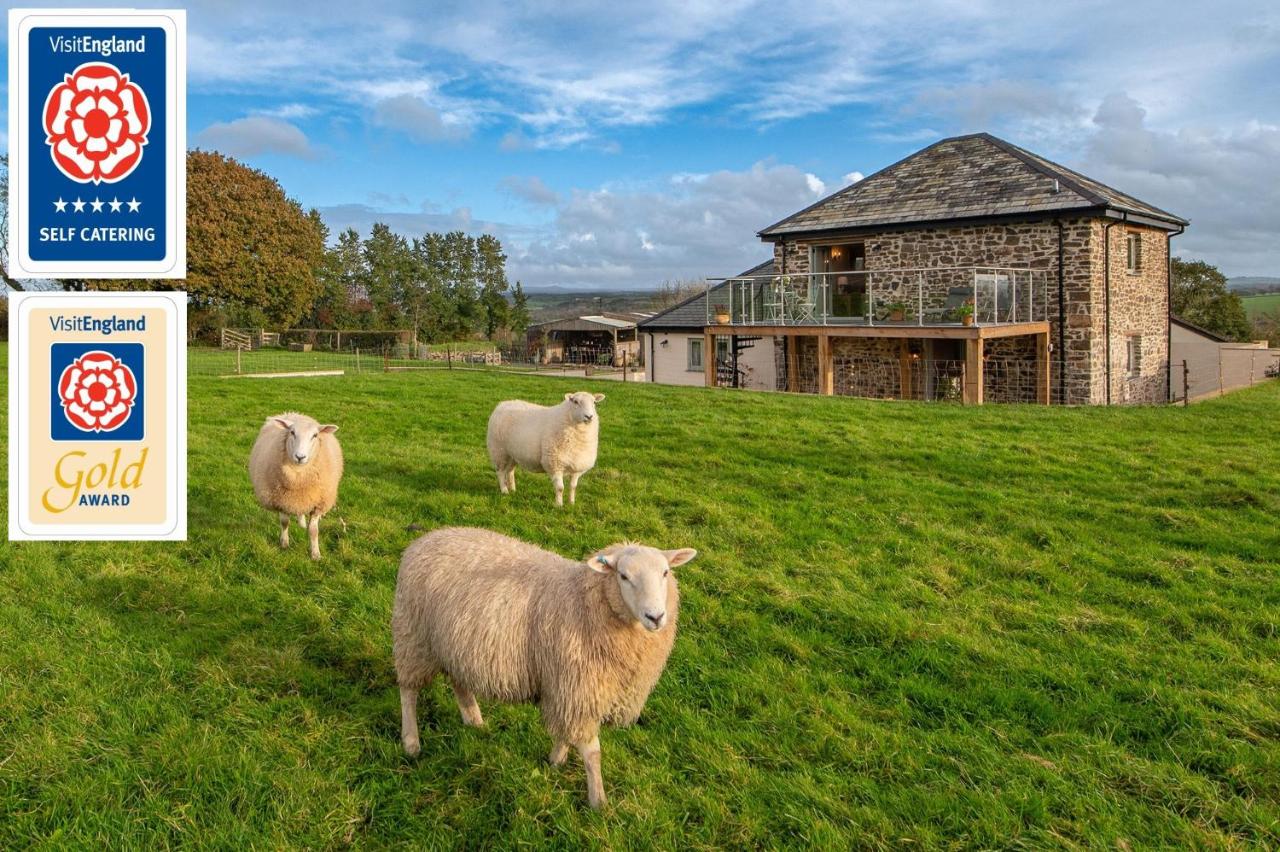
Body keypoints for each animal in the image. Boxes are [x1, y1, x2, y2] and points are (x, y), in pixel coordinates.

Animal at [245, 409, 343, 557]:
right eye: (292, 432)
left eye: (315, 435)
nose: (300, 457)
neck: (298, 477)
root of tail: (291, 413)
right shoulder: (282, 500)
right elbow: (284, 523)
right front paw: (284, 544)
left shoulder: (318, 503)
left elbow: (313, 530)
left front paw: (315, 554)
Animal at [391, 521, 701, 808]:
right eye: (623, 576)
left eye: (665, 572)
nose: (656, 617)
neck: (583, 600)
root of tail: (426, 538)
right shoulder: (577, 687)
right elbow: (592, 752)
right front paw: (598, 801)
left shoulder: (567, 687)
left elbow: (564, 733)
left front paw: (556, 761)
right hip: (413, 637)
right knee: (408, 691)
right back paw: (411, 742)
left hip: (454, 643)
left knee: (458, 681)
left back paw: (474, 719)